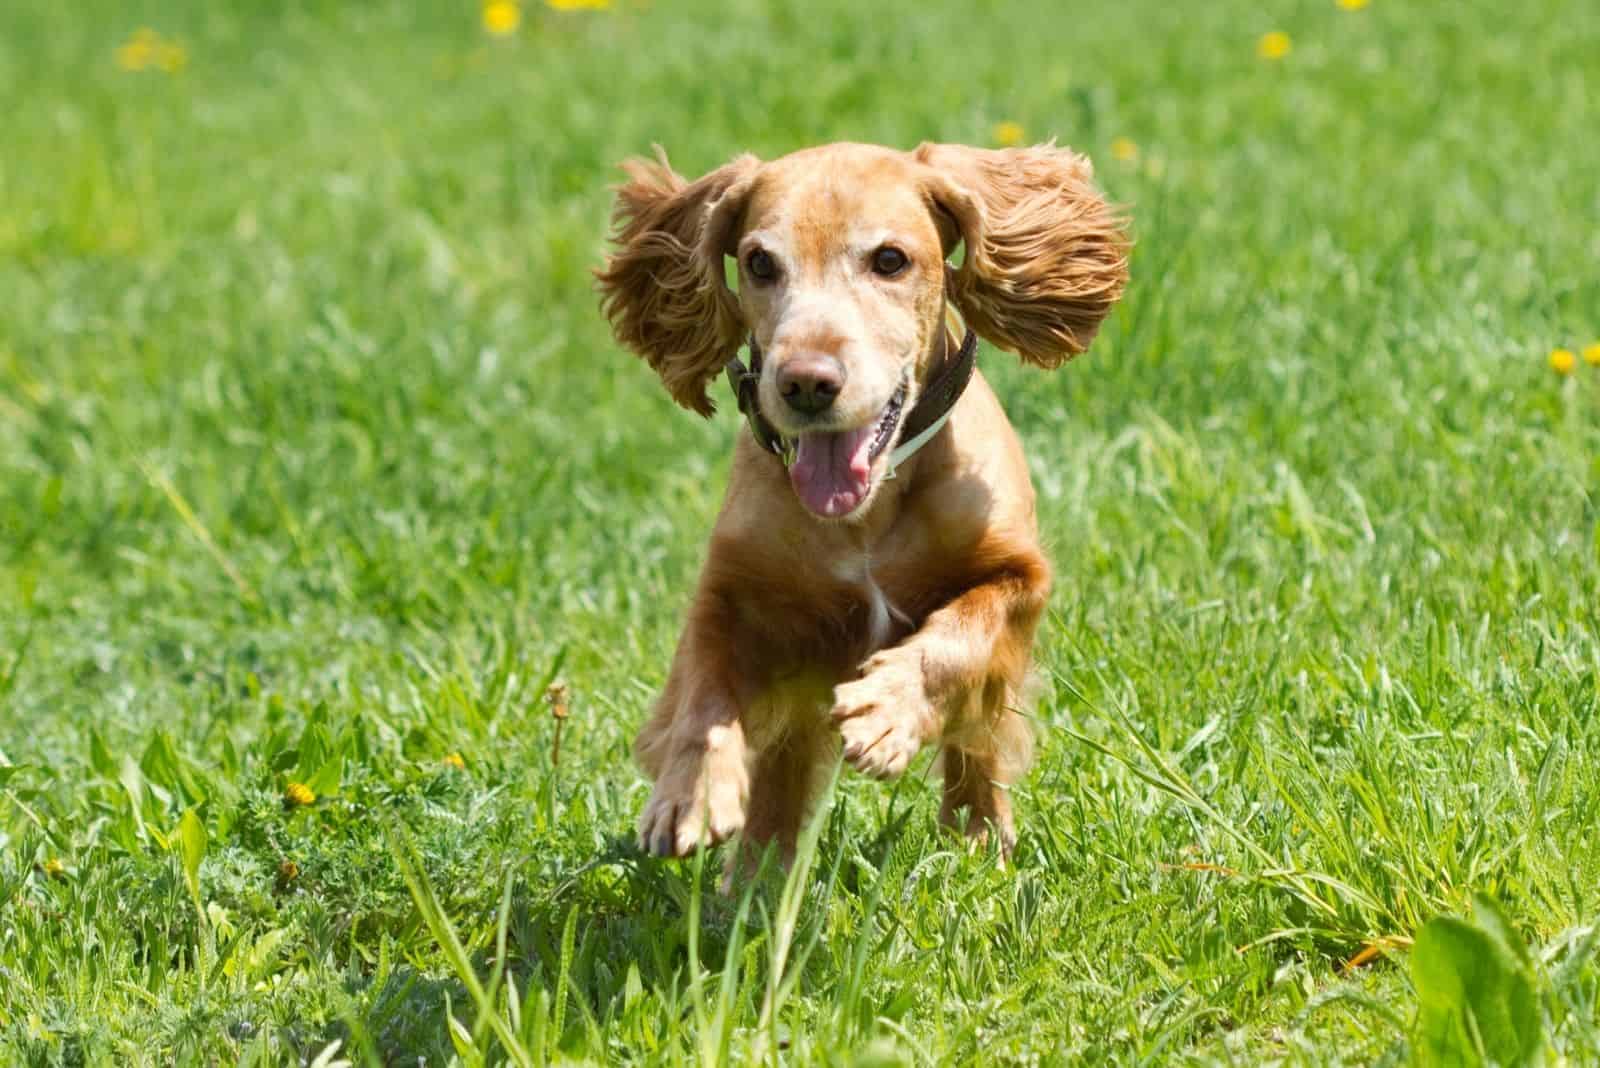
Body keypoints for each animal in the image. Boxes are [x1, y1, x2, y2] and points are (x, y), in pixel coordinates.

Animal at [595, 141, 1132, 869]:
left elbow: (960, 637)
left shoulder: (1020, 575)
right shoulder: (731, 588)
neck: (870, 509)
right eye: (759, 262)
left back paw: (979, 842)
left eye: (890, 259)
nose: (806, 383)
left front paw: (886, 711)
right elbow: (705, 688)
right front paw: (690, 792)